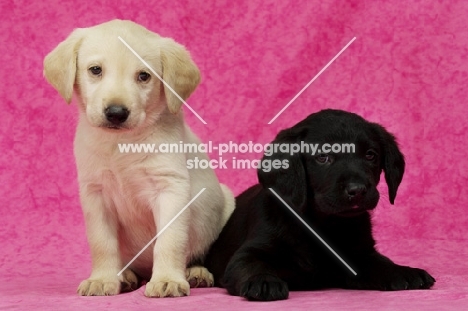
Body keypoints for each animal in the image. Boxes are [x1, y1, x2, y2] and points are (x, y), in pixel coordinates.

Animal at [43, 20, 234, 298]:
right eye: (95, 70)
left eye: (143, 76)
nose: (116, 112)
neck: (122, 145)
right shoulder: (95, 194)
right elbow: (102, 242)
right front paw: (102, 279)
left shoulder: (171, 188)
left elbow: (170, 240)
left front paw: (167, 279)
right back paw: (126, 276)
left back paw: (195, 272)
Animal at [205, 110, 436, 302]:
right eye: (323, 157)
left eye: (370, 154)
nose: (358, 190)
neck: (323, 224)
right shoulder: (246, 254)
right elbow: (251, 264)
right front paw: (263, 280)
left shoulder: (361, 255)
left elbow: (381, 263)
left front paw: (403, 271)